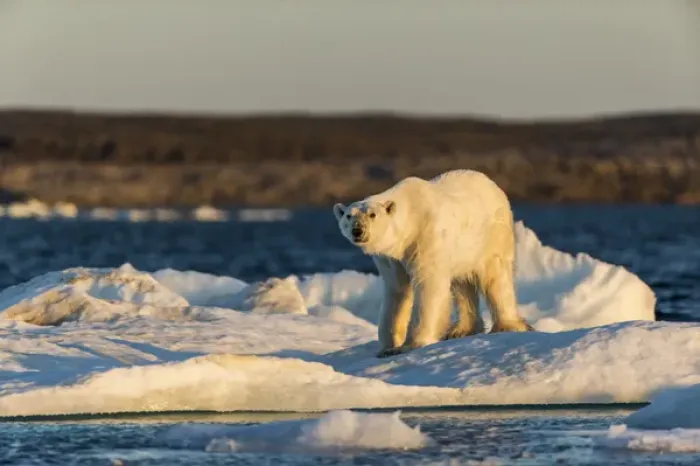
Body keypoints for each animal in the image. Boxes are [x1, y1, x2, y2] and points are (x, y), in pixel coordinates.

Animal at [333, 169, 534, 358]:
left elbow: (428, 287)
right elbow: (397, 292)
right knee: (461, 283)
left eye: (372, 214)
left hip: (491, 235)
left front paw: (412, 345)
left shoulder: (425, 238)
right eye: (348, 216)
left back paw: (507, 325)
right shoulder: (391, 258)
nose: (357, 230)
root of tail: (493, 185)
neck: (410, 220)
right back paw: (461, 330)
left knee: (496, 278)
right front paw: (388, 348)